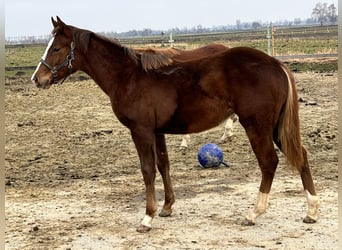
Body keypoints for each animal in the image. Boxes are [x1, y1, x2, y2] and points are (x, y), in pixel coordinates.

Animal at [30, 17, 320, 232]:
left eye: (56, 48)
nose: (37, 78)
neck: (129, 77)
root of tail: (276, 64)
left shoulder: (141, 131)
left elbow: (147, 170)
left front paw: (147, 217)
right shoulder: (157, 131)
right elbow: (163, 165)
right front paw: (167, 207)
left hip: (257, 126)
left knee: (269, 162)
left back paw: (254, 213)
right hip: (275, 127)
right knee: (302, 156)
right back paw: (312, 211)